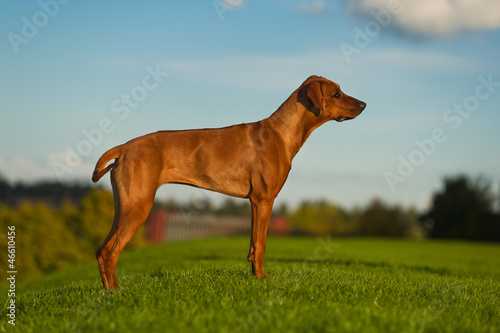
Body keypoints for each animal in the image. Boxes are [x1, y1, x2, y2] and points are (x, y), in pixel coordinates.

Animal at [93, 75, 368, 288]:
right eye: (336, 94)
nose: (364, 104)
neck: (282, 132)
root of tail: (124, 147)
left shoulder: (254, 202)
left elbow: (252, 246)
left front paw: (254, 277)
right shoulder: (264, 199)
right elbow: (261, 245)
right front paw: (262, 280)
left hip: (124, 206)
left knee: (100, 250)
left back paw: (107, 290)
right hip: (139, 206)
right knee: (111, 251)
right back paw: (116, 292)